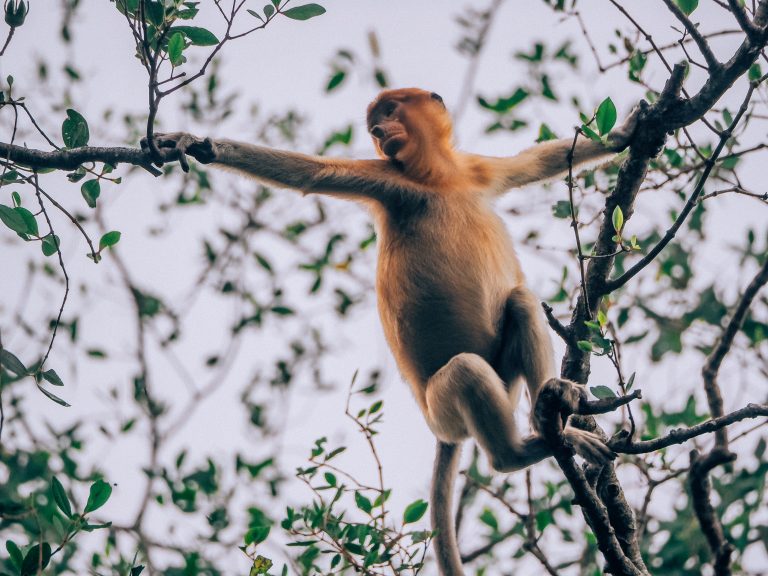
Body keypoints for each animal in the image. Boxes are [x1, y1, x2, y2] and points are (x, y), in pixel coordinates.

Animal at [143, 88, 637, 576]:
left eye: (390, 112)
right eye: (374, 125)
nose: (380, 132)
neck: (438, 179)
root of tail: (445, 432)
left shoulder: (477, 170)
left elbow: (535, 162)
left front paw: (630, 130)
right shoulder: (388, 179)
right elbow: (312, 172)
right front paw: (194, 143)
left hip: (504, 381)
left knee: (520, 301)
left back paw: (554, 403)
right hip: (443, 407)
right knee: (466, 370)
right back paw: (521, 450)